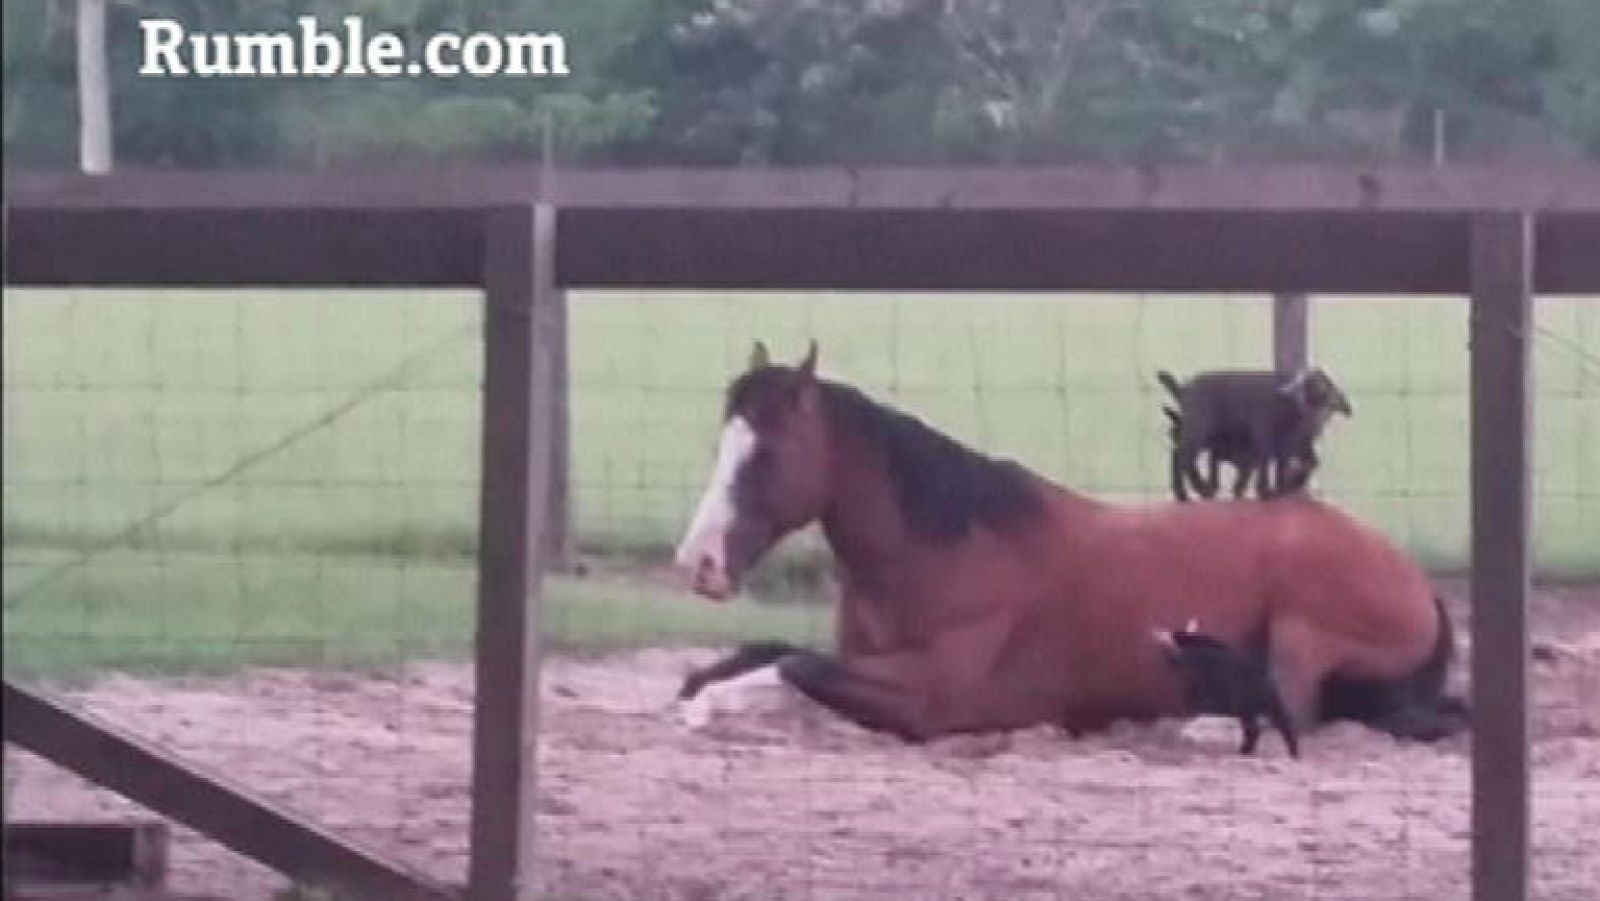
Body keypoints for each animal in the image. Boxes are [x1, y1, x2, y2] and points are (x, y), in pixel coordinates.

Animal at [672, 341, 1466, 744]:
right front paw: (701, 685)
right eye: (721, 446)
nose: (697, 564)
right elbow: (769, 653)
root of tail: (1415, 581)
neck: (950, 548)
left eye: (767, 454)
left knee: (1291, 706)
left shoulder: (928, 698)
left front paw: (710, 704)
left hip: (1302, 625)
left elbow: (793, 666)